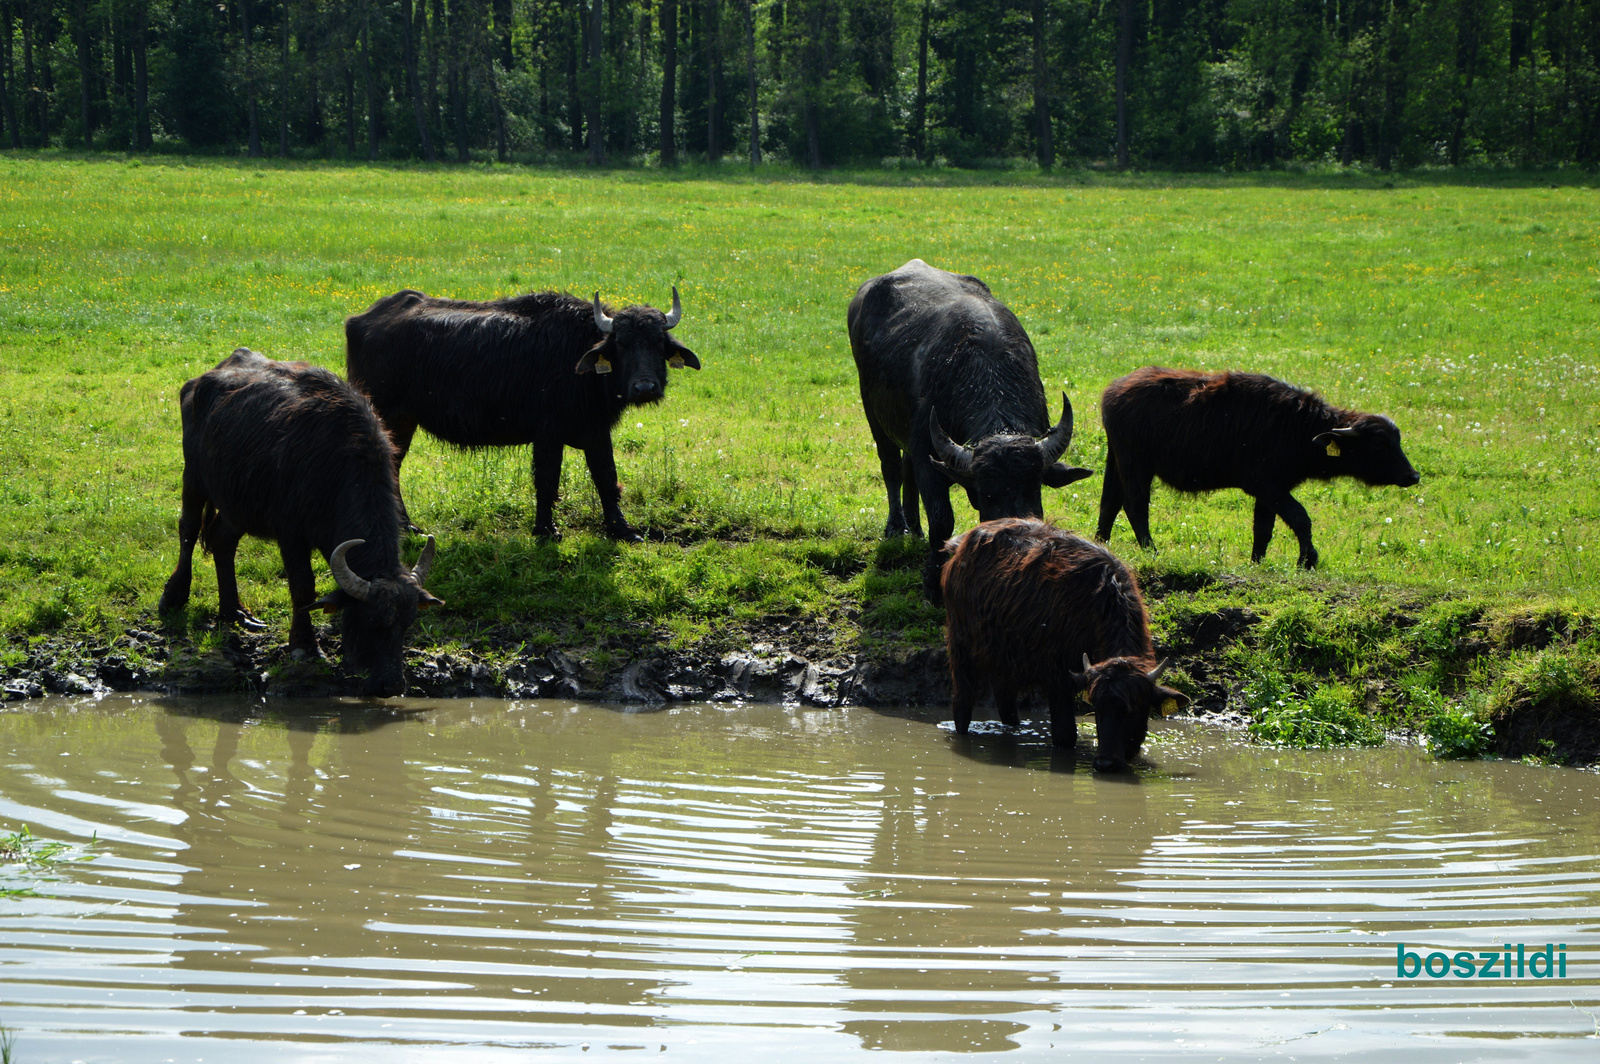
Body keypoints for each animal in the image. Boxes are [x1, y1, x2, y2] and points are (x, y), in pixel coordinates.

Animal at [156, 348, 444, 697]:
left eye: (407, 623)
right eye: (370, 621)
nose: (390, 684)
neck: (337, 471)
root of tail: (200, 381)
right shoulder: (291, 535)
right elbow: (303, 587)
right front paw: (305, 646)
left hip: (236, 501)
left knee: (222, 540)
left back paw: (235, 612)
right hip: (194, 477)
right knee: (188, 528)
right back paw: (174, 596)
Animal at [340, 284, 697, 540]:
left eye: (657, 342)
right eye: (621, 343)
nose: (645, 387)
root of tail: (361, 320)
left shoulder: (596, 430)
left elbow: (606, 477)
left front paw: (621, 529)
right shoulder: (548, 434)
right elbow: (547, 479)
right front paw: (546, 530)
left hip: (404, 421)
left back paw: (406, 527)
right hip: (386, 416)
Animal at [844, 257, 1094, 601]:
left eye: (1033, 488)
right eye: (988, 492)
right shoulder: (927, 454)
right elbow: (941, 519)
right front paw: (933, 582)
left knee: (906, 470)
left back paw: (914, 527)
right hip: (872, 408)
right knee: (891, 466)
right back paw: (897, 526)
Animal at [934, 515, 1190, 771]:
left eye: (1133, 706)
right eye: (1097, 708)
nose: (1105, 763)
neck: (1099, 604)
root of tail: (962, 544)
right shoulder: (1057, 678)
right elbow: (1065, 735)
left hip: (1004, 659)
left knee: (1005, 703)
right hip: (962, 647)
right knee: (962, 704)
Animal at [1094, 363, 1420, 563]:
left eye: (1397, 440)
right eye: (1379, 444)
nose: (1413, 475)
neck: (1300, 427)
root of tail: (1113, 392)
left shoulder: (1271, 491)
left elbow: (1264, 529)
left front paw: (1257, 561)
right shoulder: (1265, 484)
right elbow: (1300, 516)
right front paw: (1307, 559)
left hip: (1116, 460)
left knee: (1109, 501)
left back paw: (1101, 543)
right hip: (1136, 464)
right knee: (1135, 505)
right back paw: (1152, 550)